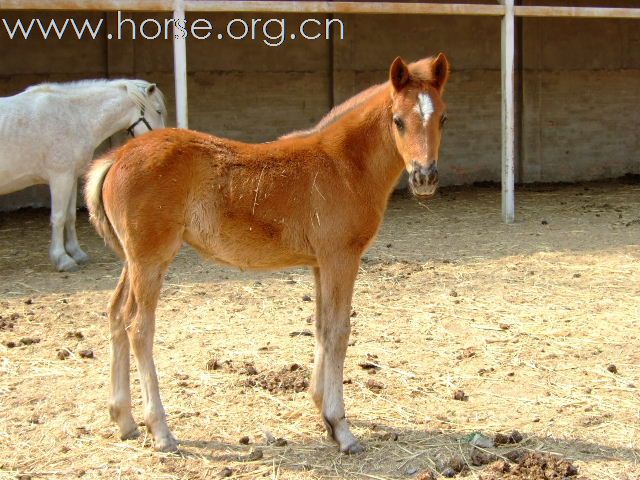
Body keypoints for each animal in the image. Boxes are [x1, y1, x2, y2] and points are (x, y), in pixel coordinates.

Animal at [0, 80, 168, 272]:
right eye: (158, 111)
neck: (74, 118)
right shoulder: (60, 178)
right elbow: (58, 217)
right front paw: (62, 259)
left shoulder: (71, 178)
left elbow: (70, 216)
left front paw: (77, 254)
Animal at [85, 53, 450, 454]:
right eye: (398, 120)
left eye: (442, 118)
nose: (425, 177)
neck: (343, 164)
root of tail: (117, 157)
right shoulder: (341, 258)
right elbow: (339, 331)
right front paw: (341, 428)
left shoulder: (320, 263)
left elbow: (321, 327)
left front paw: (322, 411)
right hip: (151, 259)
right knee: (139, 326)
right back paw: (160, 430)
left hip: (133, 260)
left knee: (116, 314)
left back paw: (124, 419)